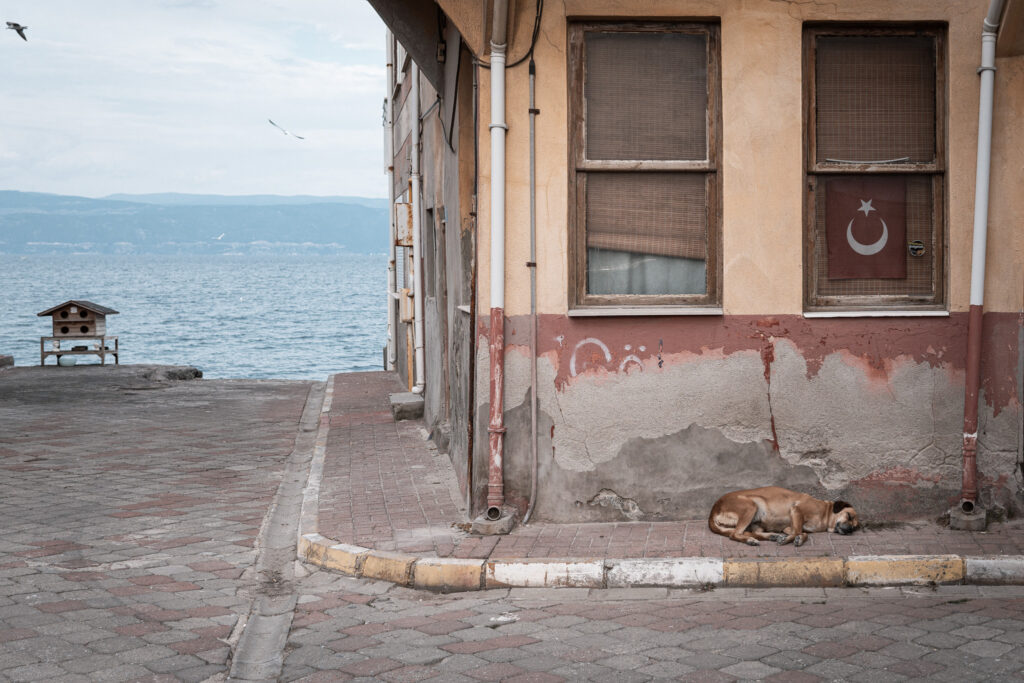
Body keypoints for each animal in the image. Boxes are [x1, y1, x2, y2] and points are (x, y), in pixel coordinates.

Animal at [704, 483, 856, 548]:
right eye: (849, 516)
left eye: (855, 527)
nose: (849, 530)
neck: (825, 513)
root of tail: (714, 509)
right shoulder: (797, 510)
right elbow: (798, 532)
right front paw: (790, 539)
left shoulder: (789, 527)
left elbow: (801, 533)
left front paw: (796, 539)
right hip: (751, 505)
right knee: (734, 534)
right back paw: (751, 541)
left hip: (757, 522)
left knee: (748, 532)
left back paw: (771, 536)